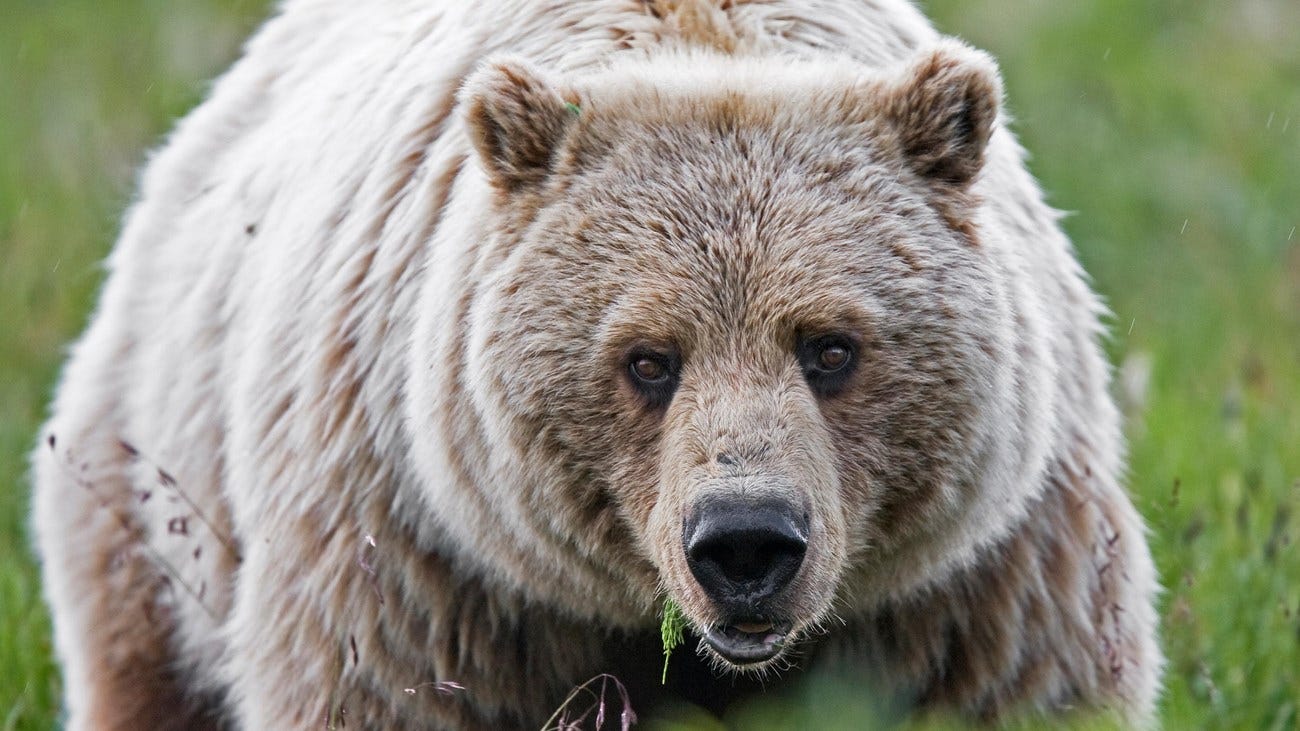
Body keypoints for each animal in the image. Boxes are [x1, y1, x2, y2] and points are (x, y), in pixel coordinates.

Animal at [32, 0, 1159, 723]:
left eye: (831, 346)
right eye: (648, 359)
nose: (746, 541)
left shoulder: (975, 585)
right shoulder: (424, 571)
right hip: (152, 496)